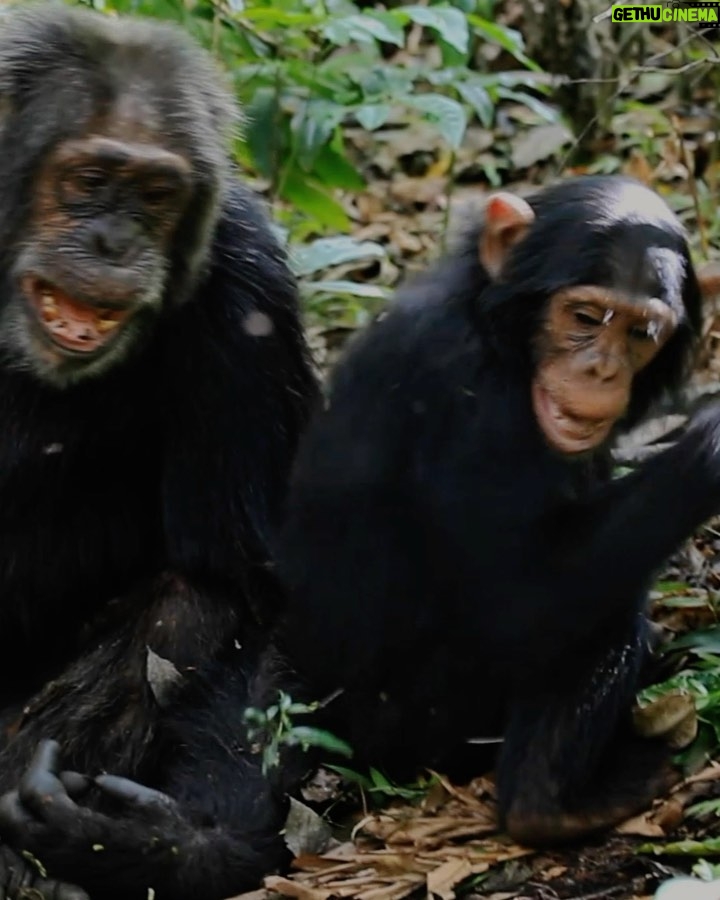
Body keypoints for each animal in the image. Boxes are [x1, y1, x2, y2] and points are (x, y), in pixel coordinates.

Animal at [0, 7, 318, 900]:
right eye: (86, 177)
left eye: (155, 193)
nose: (113, 239)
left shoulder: (247, 293)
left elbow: (251, 589)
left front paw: (166, 845)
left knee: (189, 605)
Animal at [278, 178, 720, 852]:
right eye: (585, 318)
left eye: (642, 333)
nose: (601, 370)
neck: (495, 330)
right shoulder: (471, 400)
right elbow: (518, 599)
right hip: (434, 727)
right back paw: (551, 803)